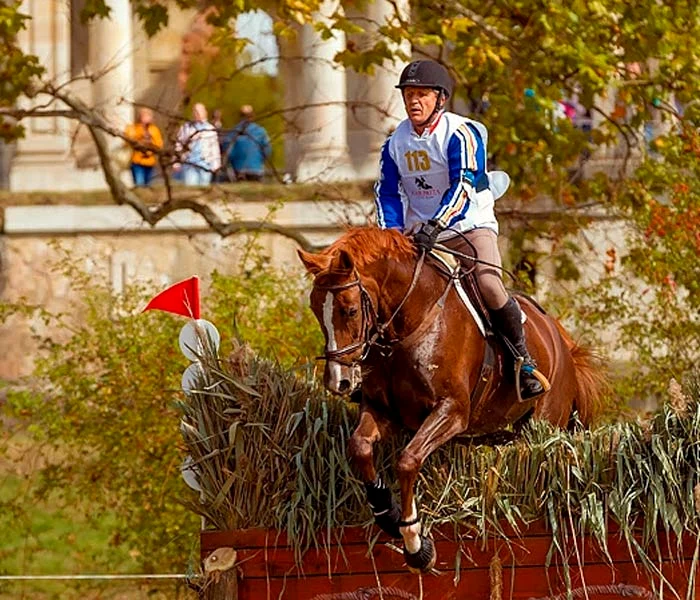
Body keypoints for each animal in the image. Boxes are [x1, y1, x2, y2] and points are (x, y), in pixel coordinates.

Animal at [297, 226, 607, 573]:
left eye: (349, 310)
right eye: (315, 310)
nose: (338, 381)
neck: (411, 319)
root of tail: (562, 340)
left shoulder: (452, 410)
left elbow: (407, 461)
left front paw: (415, 542)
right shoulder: (381, 409)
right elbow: (360, 448)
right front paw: (387, 514)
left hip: (547, 419)